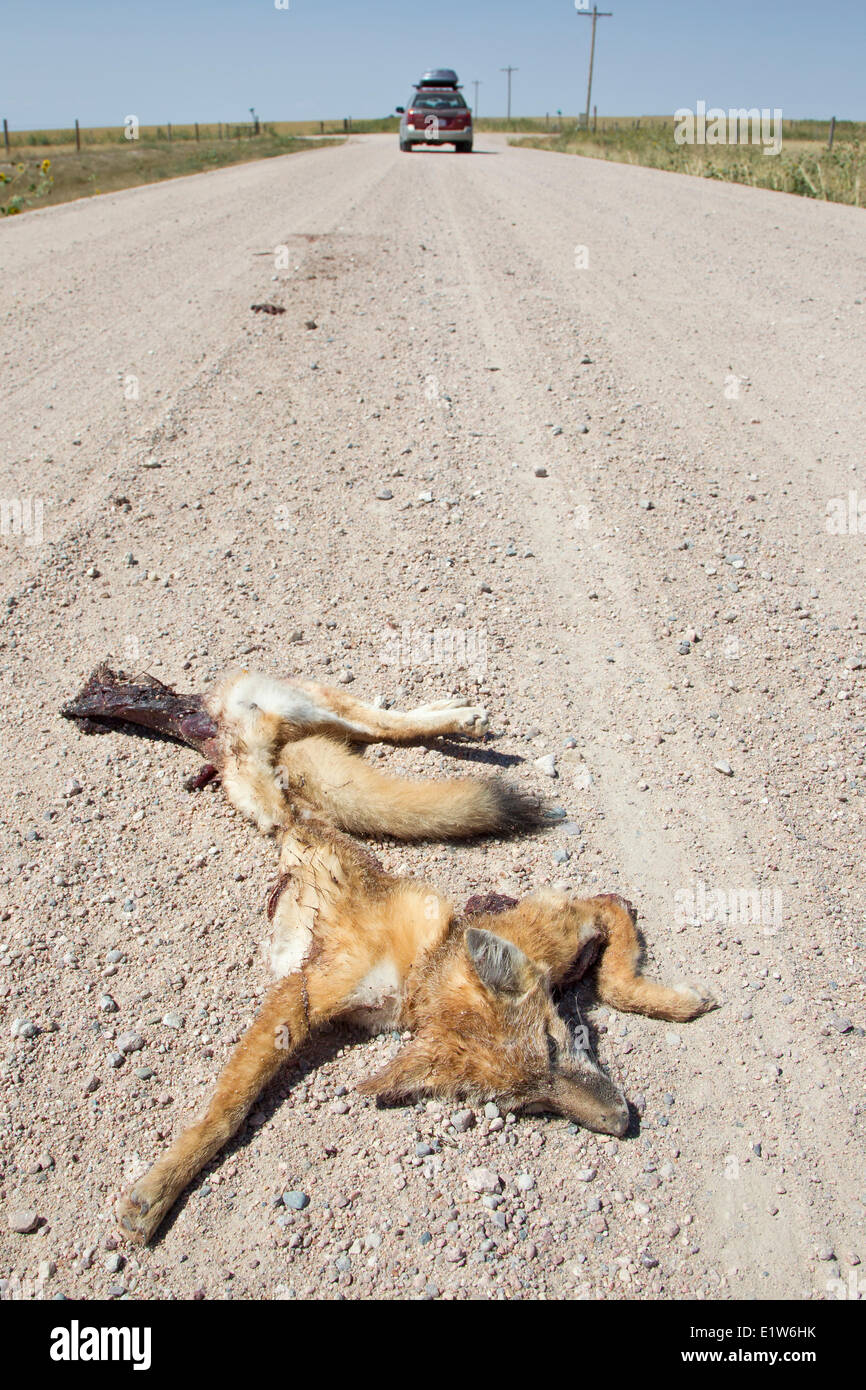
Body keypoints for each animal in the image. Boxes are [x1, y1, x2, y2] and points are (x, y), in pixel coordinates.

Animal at [62, 665, 717, 1246]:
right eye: (531, 1104)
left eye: (557, 1050)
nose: (623, 1122)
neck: (420, 976)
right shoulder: (308, 992)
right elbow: (228, 1108)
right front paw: (162, 1185)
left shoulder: (569, 924)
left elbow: (614, 961)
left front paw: (676, 1002)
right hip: (270, 742)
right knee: (258, 724)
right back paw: (108, 698)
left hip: (305, 719)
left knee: (378, 723)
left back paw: (458, 718)